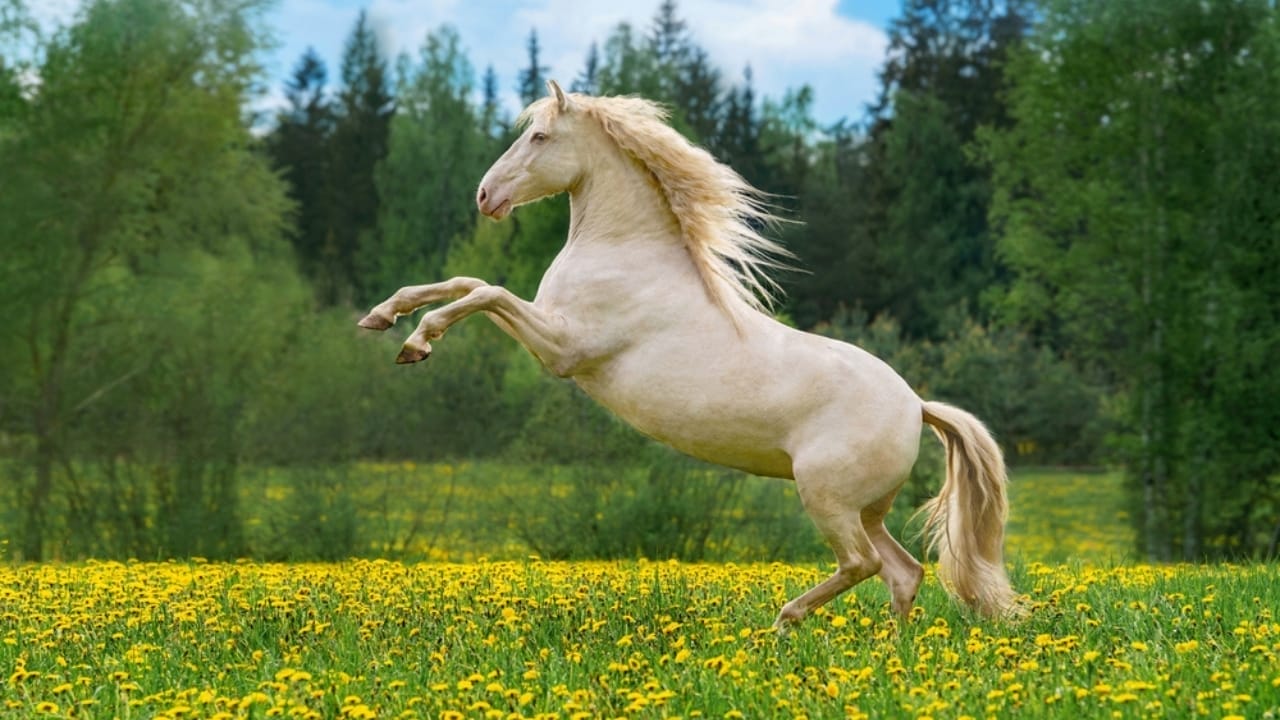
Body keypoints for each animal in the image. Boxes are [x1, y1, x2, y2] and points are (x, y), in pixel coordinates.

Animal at [358, 80, 1019, 629]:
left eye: (539, 136)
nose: (485, 195)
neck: (625, 252)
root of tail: (916, 406)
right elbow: (467, 281)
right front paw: (383, 316)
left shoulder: (563, 349)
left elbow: (485, 292)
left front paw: (417, 343)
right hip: (866, 509)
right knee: (903, 572)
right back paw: (892, 652)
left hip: (827, 498)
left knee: (863, 565)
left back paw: (784, 622)